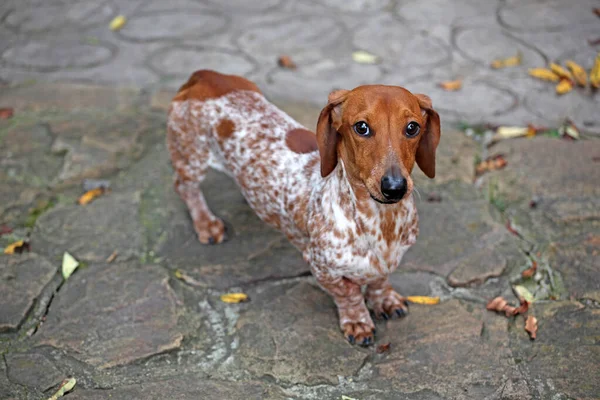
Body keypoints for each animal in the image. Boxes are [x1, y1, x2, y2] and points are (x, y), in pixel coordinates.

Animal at [168, 70, 440, 346]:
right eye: (361, 127)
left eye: (412, 127)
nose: (394, 187)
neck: (381, 222)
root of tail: (204, 76)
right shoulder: (321, 267)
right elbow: (349, 294)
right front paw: (358, 322)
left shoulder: (390, 260)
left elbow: (379, 280)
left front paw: (385, 300)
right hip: (192, 157)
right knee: (184, 187)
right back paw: (206, 224)